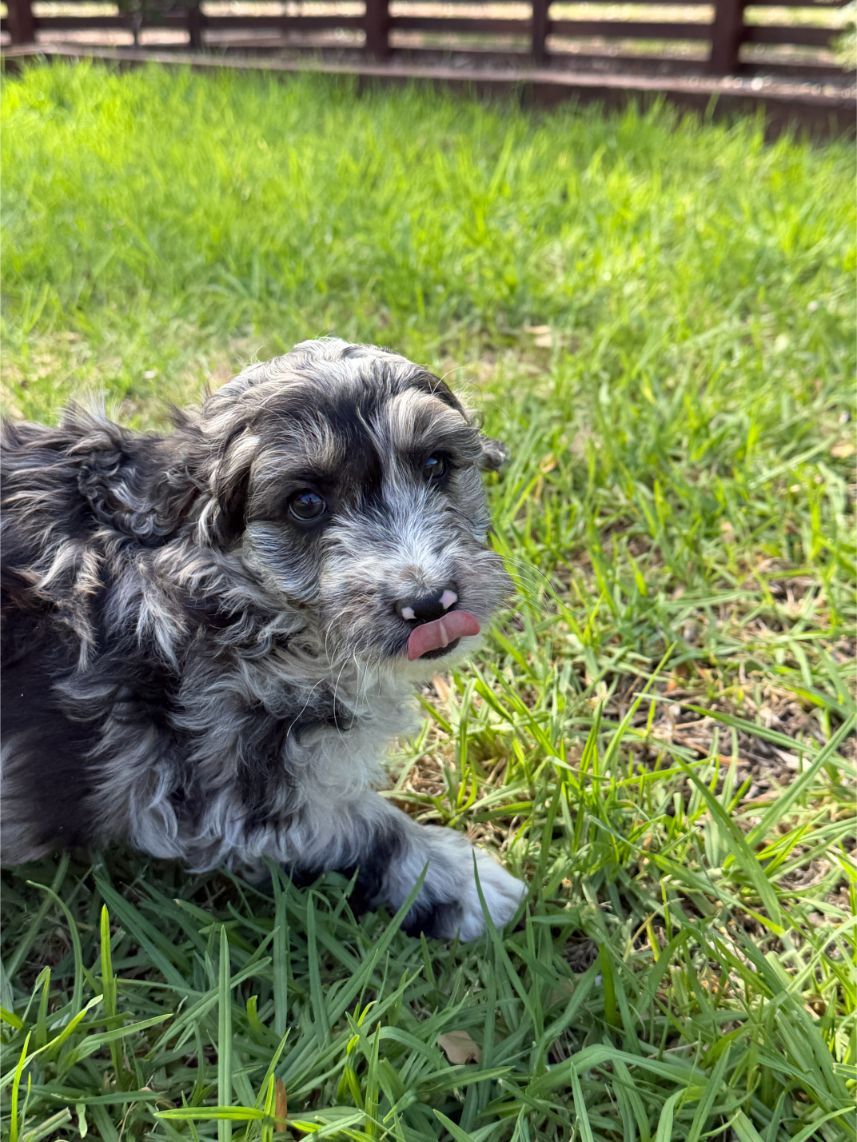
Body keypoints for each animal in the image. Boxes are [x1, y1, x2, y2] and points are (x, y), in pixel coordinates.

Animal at [1, 338, 526, 940]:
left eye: (437, 464)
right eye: (306, 503)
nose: (431, 604)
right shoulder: (219, 784)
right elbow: (365, 827)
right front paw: (470, 885)